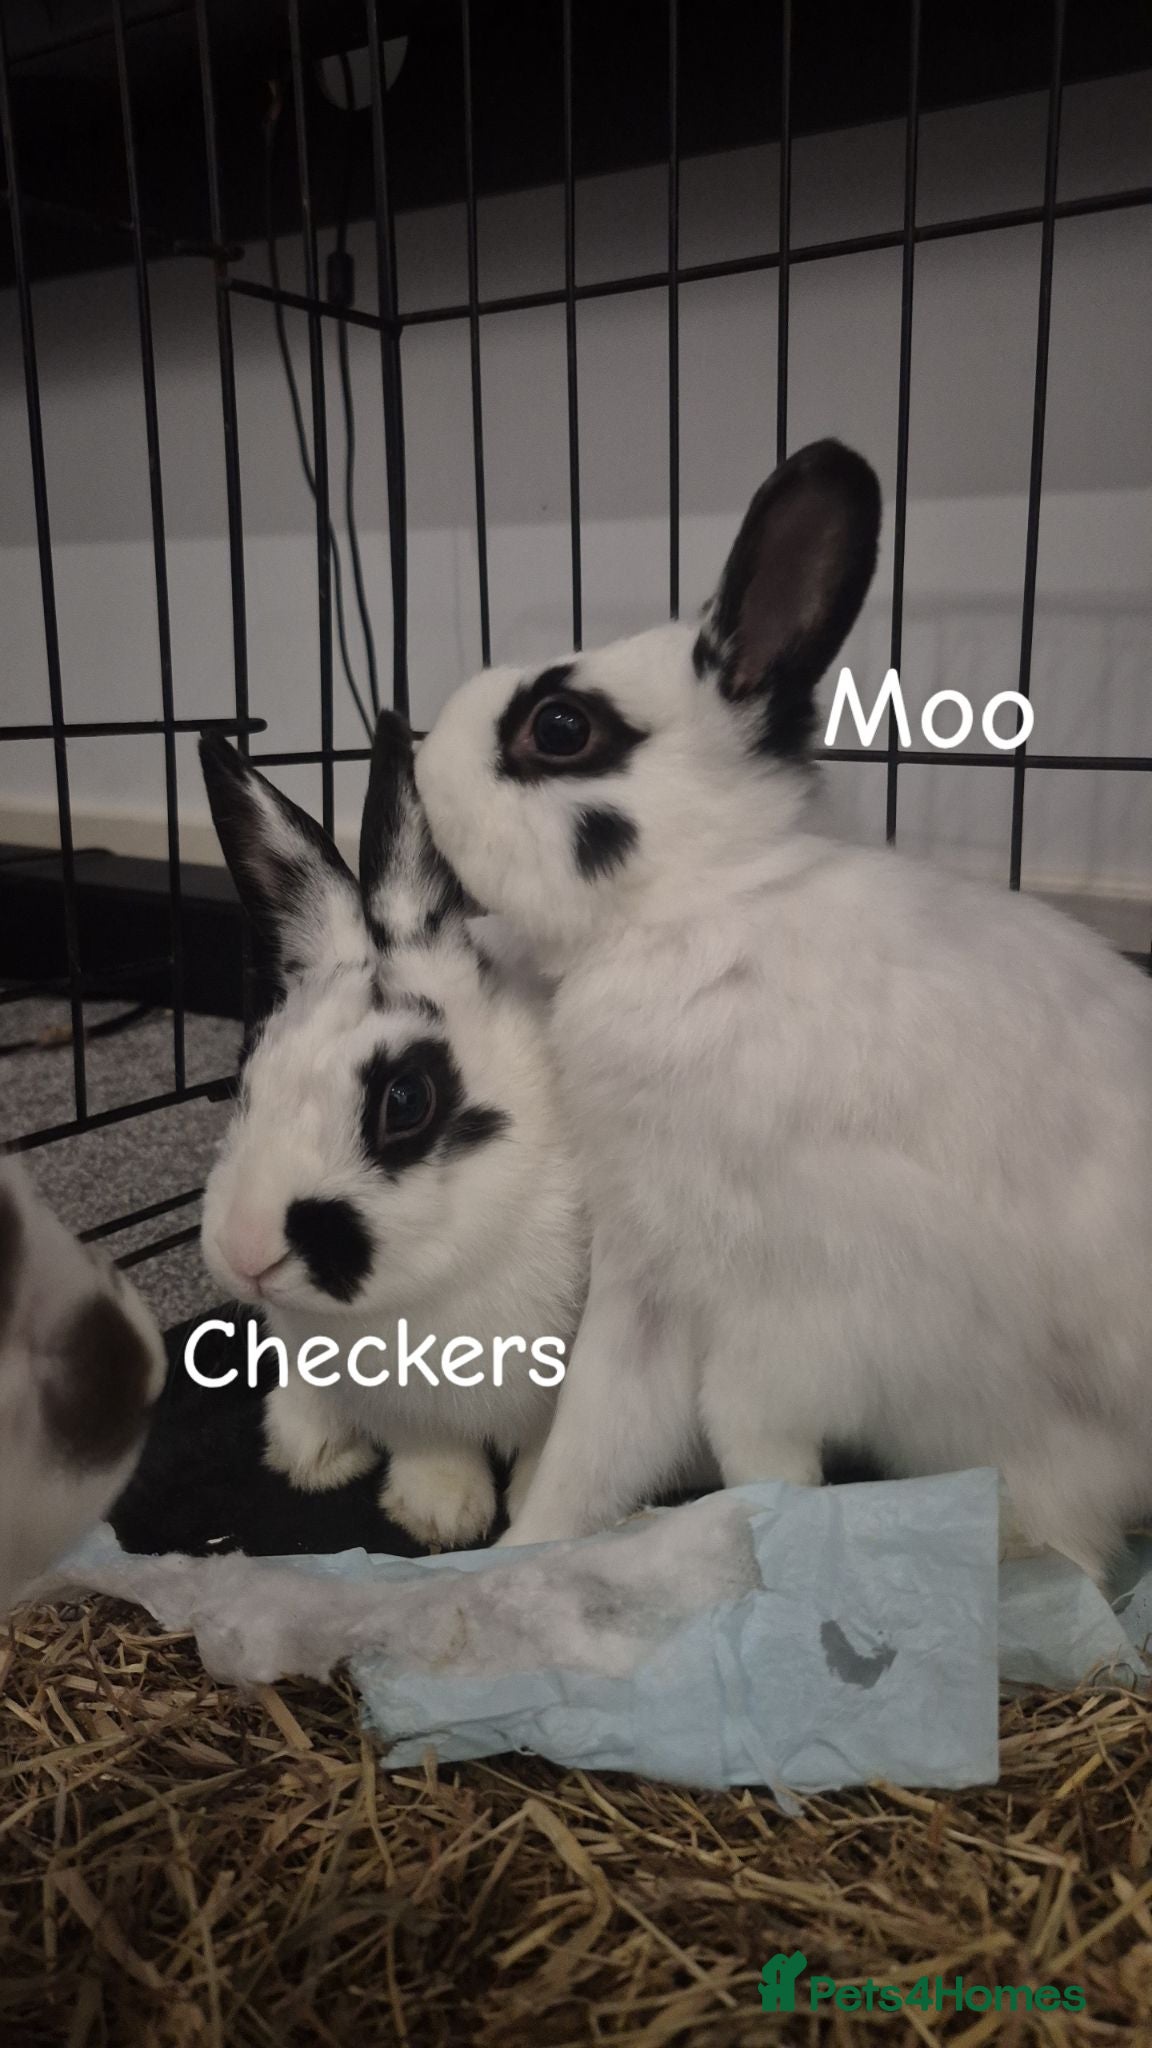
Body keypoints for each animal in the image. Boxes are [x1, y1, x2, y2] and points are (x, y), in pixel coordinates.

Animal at [198, 714, 587, 1549]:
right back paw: (313, 1453)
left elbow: (554, 1444)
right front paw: (439, 1513)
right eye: (247, 1070)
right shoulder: (396, 1404)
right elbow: (429, 1447)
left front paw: (535, 1509)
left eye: (406, 1100)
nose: (246, 1254)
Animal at [413, 437, 1152, 1580]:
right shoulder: (651, 1276)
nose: (414, 760)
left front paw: (776, 1528)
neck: (697, 912)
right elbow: (599, 1433)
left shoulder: (817, 1304)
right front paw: (524, 1559)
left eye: (561, 725)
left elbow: (742, 1423)